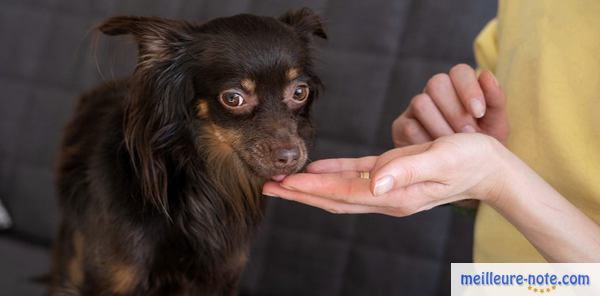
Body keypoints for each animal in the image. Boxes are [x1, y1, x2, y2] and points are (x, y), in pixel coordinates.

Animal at [49, 8, 326, 294]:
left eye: (300, 92)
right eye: (233, 98)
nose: (290, 157)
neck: (203, 184)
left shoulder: (221, 277)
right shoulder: (111, 278)